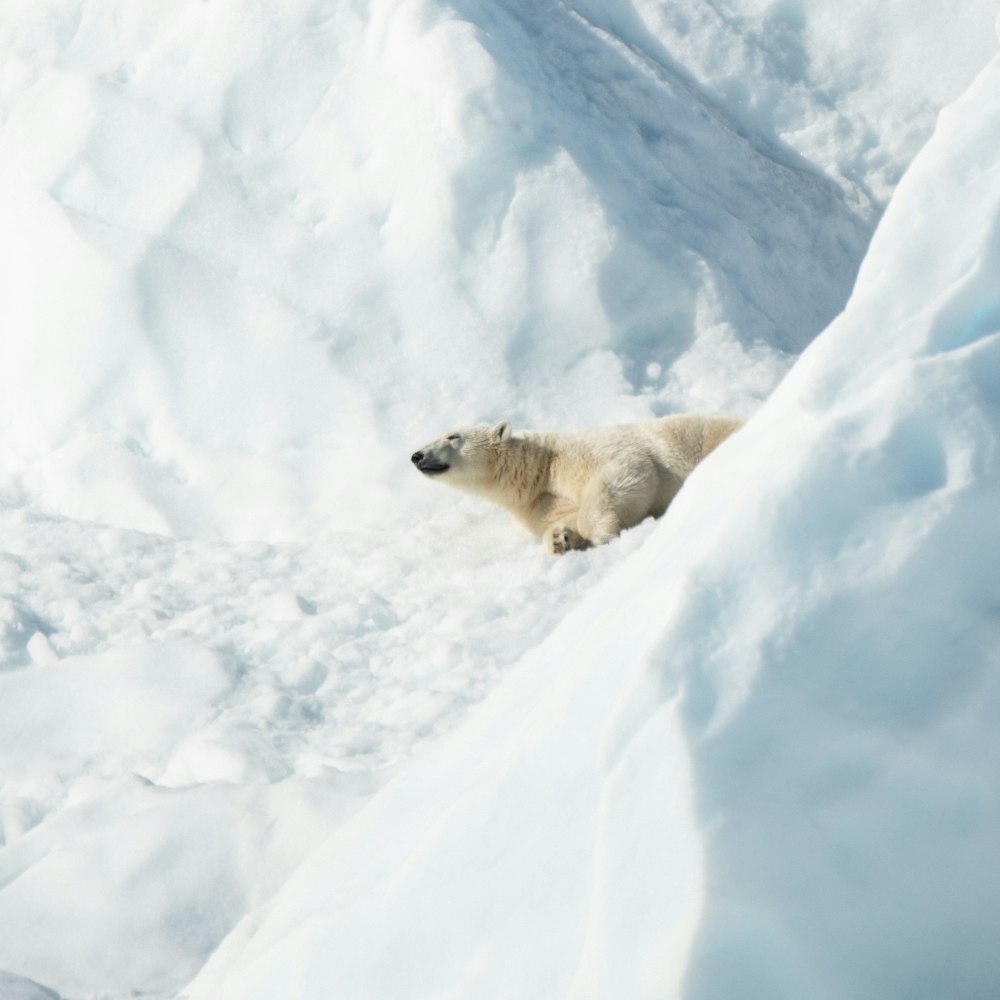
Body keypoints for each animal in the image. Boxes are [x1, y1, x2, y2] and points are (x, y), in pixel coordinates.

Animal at [410, 414, 748, 556]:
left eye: (453, 436)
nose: (417, 455)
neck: (538, 468)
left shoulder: (581, 453)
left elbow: (630, 469)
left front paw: (601, 533)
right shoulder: (539, 503)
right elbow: (562, 518)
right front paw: (560, 540)